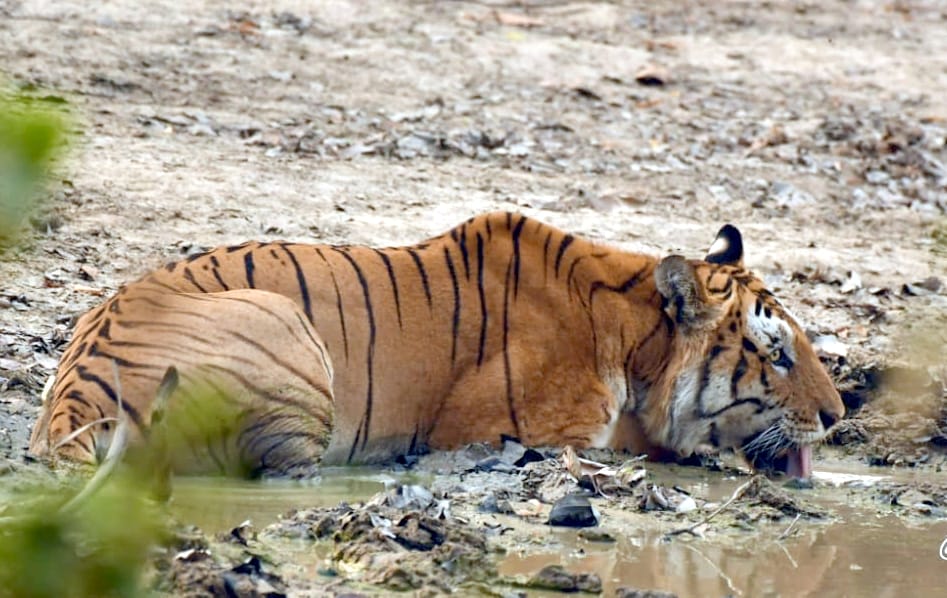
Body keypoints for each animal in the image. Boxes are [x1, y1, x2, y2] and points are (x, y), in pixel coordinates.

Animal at [29, 211, 844, 478]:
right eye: (775, 353)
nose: (837, 417)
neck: (635, 343)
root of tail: (75, 398)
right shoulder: (524, 430)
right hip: (286, 338)